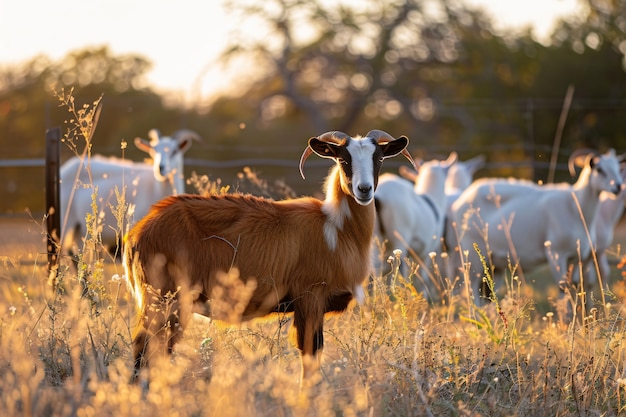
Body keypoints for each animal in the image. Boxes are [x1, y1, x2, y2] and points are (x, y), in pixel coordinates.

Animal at [59, 128, 199, 256]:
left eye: (175, 151)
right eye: (153, 150)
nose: (161, 168)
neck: (156, 188)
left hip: (79, 229)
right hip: (66, 219)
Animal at [122, 129, 414, 384]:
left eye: (379, 159)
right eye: (344, 159)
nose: (364, 190)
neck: (337, 228)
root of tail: (137, 233)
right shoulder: (310, 297)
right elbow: (310, 355)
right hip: (164, 299)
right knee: (145, 350)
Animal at [446, 148, 620, 300]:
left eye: (618, 168)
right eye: (599, 169)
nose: (618, 186)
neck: (575, 205)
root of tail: (460, 201)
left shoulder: (577, 257)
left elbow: (577, 286)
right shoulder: (556, 254)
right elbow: (563, 288)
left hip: (494, 262)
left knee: (488, 291)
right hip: (472, 255)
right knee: (472, 287)